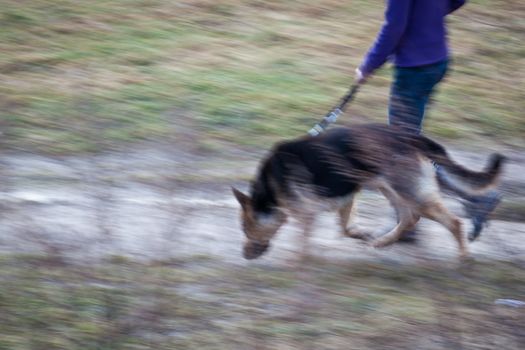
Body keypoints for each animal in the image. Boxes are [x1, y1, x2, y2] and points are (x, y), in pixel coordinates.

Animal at [232, 123, 504, 260]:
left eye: (246, 229)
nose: (244, 255)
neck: (269, 188)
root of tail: (412, 137)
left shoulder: (307, 213)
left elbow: (305, 242)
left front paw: (302, 261)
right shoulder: (347, 196)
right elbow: (346, 227)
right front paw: (361, 234)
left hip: (411, 194)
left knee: (454, 222)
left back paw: (464, 258)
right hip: (390, 189)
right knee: (409, 218)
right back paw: (382, 242)